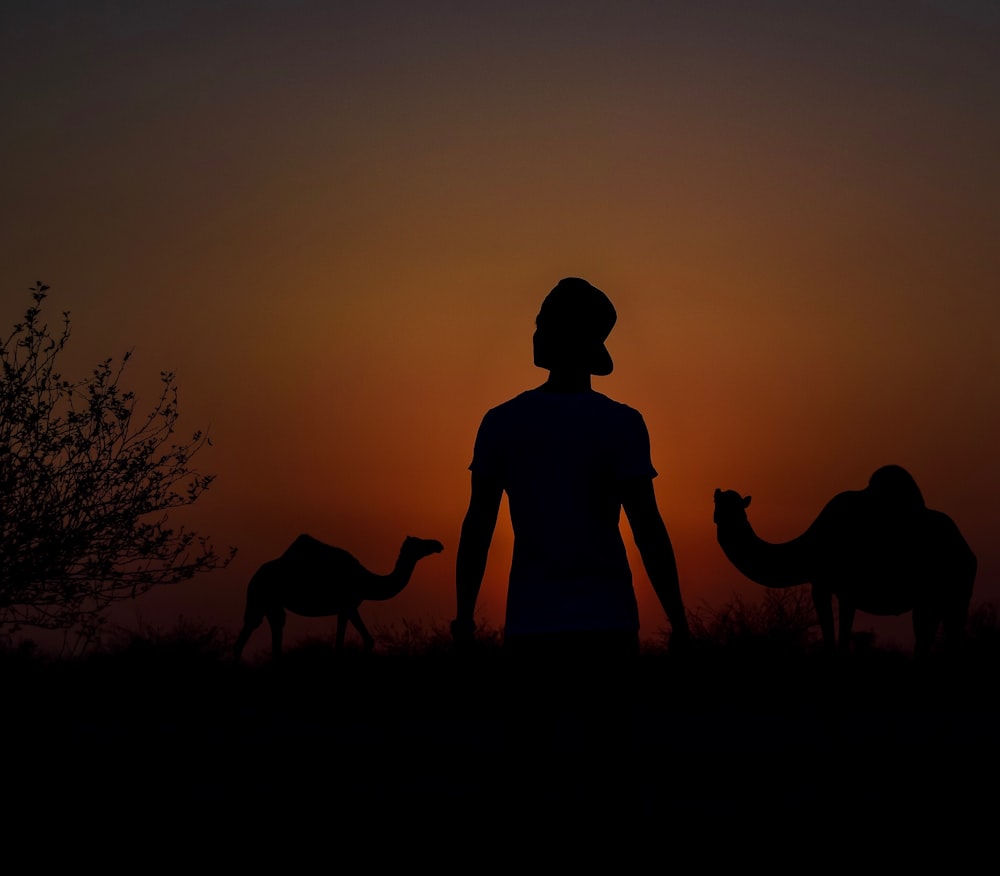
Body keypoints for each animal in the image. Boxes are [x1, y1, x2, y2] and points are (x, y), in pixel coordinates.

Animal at [233, 532, 442, 660]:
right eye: (419, 542)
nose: (438, 544)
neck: (365, 580)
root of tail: (254, 577)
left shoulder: (348, 608)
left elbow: (361, 641)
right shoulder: (347, 605)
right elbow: (348, 644)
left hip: (271, 605)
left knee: (272, 631)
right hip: (259, 598)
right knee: (246, 635)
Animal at [712, 466, 976, 656]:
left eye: (734, 506)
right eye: (718, 503)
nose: (723, 517)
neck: (809, 548)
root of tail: (968, 551)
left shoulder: (824, 585)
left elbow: (832, 636)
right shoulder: (845, 593)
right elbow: (843, 634)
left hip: (941, 594)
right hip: (950, 598)